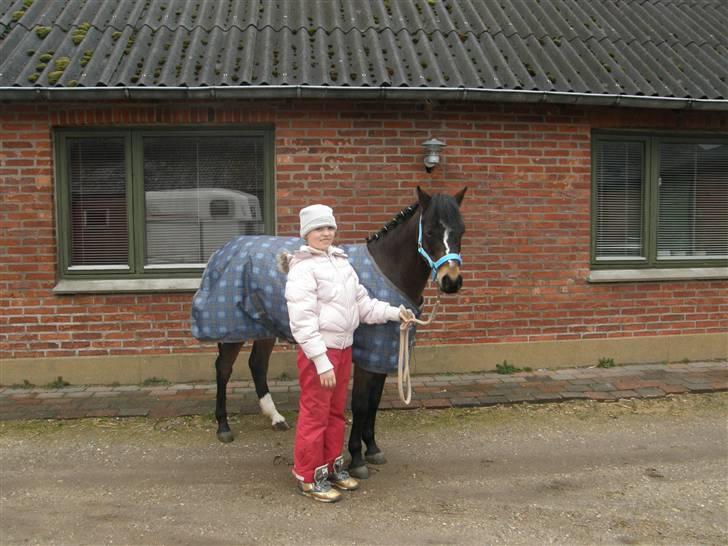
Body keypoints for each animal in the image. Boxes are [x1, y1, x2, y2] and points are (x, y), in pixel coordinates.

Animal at [192, 186, 466, 476]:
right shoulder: (366, 359)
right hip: (231, 329)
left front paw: (373, 449)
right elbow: (360, 404)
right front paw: (356, 458)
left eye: (461, 230)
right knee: (223, 369)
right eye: (430, 231)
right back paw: (223, 426)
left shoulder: (382, 353)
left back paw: (276, 418)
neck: (387, 270)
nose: (451, 281)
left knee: (257, 364)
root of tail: (223, 250)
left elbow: (374, 402)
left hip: (265, 326)